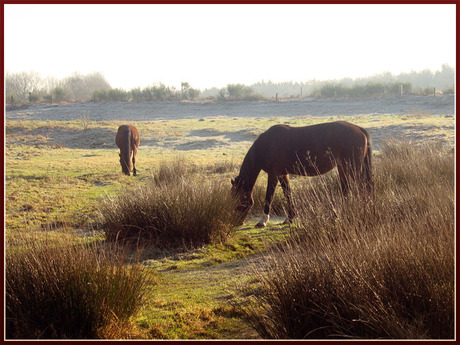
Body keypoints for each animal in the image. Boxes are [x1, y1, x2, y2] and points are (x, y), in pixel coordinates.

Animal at [232, 119, 372, 227]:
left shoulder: (273, 174)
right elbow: (288, 194)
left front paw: (263, 221)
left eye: (238, 197)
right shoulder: (283, 175)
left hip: (352, 167)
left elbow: (269, 197)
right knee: (347, 189)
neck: (266, 145)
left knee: (361, 187)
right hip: (343, 167)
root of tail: (360, 129)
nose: (237, 222)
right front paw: (289, 218)